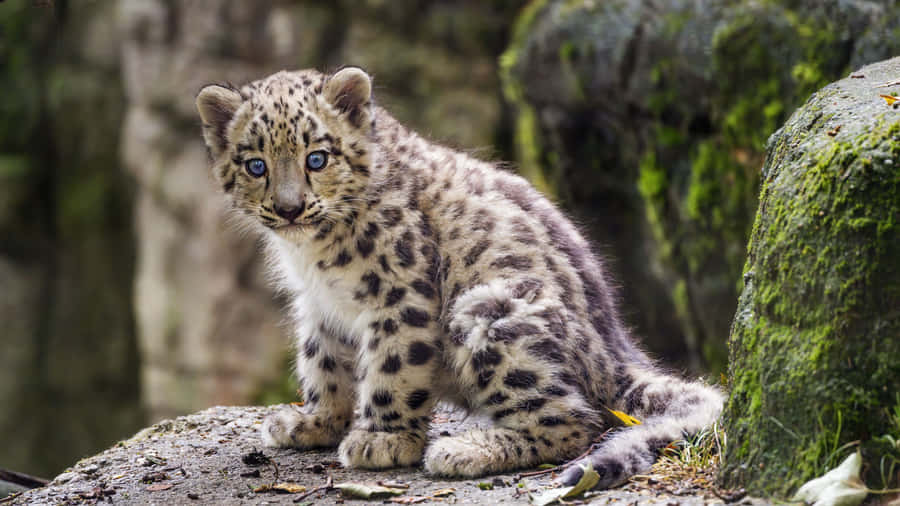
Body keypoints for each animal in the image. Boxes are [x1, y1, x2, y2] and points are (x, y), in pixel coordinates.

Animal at [195, 66, 724, 489]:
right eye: (256, 164)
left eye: (317, 158)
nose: (289, 208)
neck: (311, 254)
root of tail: (615, 347)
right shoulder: (319, 305)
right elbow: (321, 361)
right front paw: (316, 422)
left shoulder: (399, 293)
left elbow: (392, 367)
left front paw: (384, 439)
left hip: (489, 312)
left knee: (573, 421)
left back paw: (464, 450)